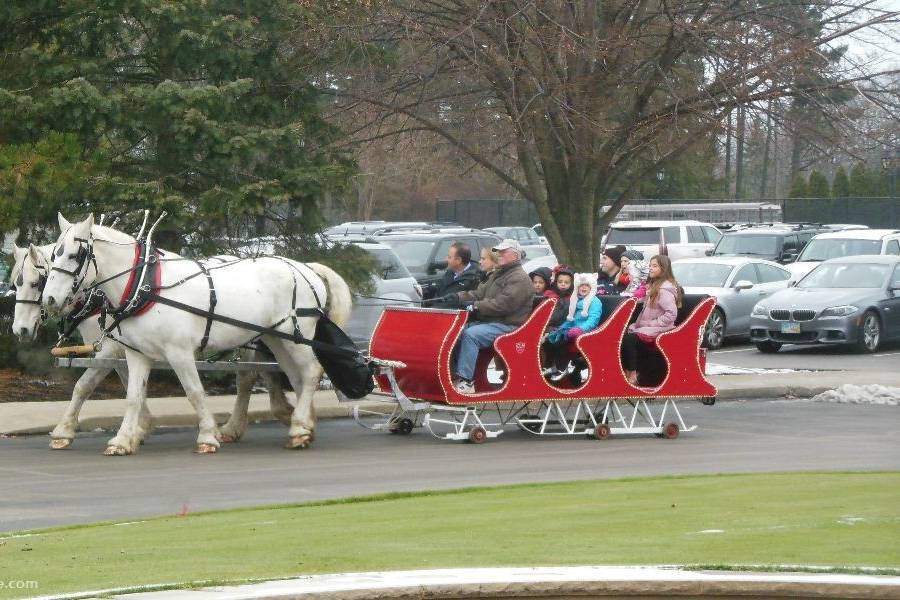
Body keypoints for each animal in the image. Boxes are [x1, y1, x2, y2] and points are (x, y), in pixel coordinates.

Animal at [10, 244, 292, 450]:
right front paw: (139, 428)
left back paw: (240, 424)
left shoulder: (111, 347)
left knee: (247, 377)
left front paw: (64, 431)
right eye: (16, 284)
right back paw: (279, 410)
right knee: (263, 370)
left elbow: (84, 385)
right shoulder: (126, 346)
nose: (19, 330)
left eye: (35, 283)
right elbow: (130, 384)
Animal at [42, 213, 352, 452]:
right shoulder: (137, 353)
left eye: (76, 254)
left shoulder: (179, 352)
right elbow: (133, 396)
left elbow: (194, 392)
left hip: (297, 335)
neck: (145, 286)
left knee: (311, 372)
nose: (50, 299)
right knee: (296, 376)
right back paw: (304, 426)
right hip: (276, 338)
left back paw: (298, 427)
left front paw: (207, 436)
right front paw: (123, 439)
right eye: (54, 253)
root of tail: (306, 268)